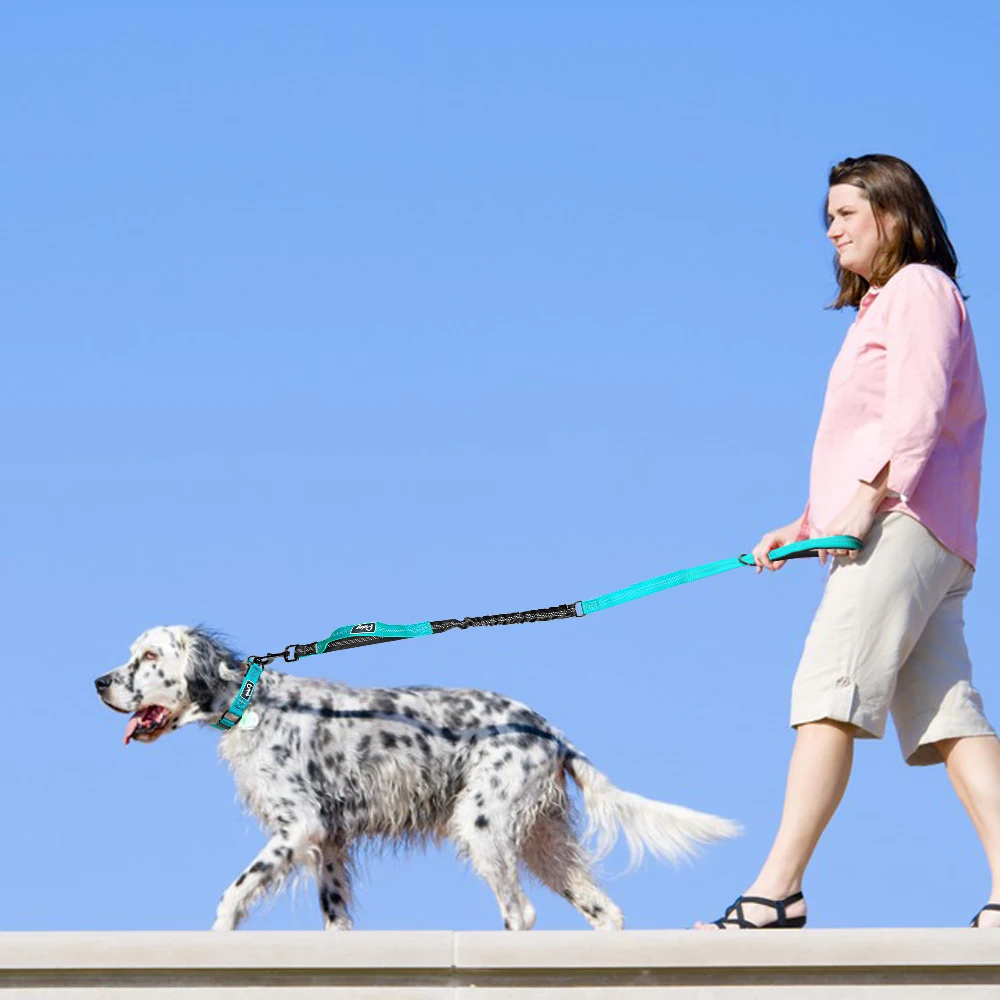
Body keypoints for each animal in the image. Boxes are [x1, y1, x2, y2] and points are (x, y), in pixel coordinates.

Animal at [95, 624, 744, 928]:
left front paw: (218, 932)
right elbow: (336, 920)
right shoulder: (330, 844)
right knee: (604, 910)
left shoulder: (298, 828)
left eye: (149, 657)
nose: (99, 682)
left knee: (521, 913)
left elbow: (233, 892)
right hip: (542, 840)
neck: (253, 701)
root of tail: (550, 732)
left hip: (483, 826)